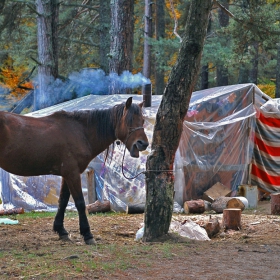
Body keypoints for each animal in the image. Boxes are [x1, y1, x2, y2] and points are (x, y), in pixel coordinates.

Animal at [0, 97, 149, 244]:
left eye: (142, 120)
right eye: (129, 120)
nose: (143, 143)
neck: (80, 132)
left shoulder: (67, 175)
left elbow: (63, 201)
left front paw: (61, 231)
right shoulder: (72, 174)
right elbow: (80, 203)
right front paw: (87, 234)